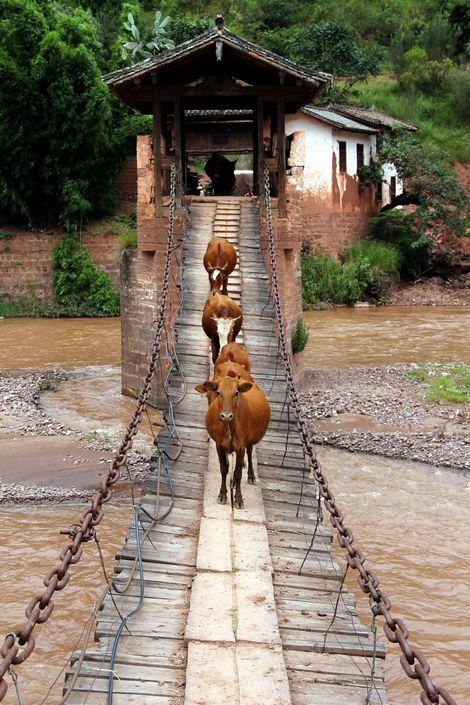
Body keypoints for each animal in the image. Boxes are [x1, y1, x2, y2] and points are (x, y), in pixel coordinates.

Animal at [194, 376, 268, 508]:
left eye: (236, 393)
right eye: (219, 392)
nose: (226, 416)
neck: (229, 427)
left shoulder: (241, 447)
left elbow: (238, 473)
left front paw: (238, 499)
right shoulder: (219, 445)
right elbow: (224, 469)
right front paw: (222, 495)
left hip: (250, 441)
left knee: (249, 452)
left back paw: (251, 476)